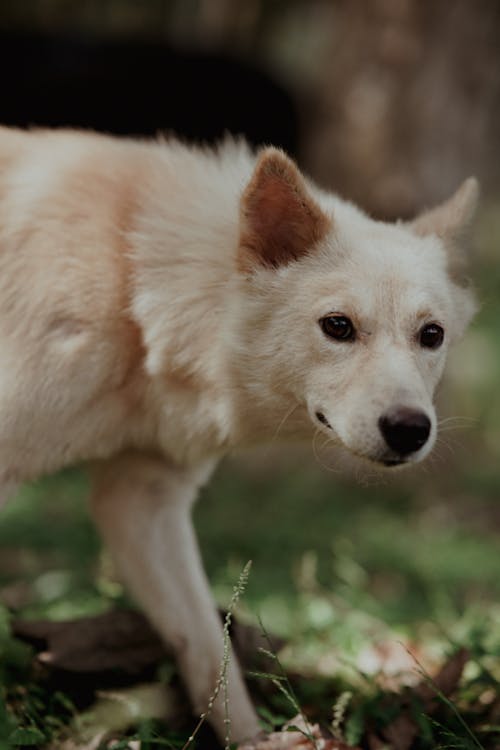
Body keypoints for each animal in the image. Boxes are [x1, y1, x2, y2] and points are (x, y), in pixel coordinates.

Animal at [0, 129, 476, 748]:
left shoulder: (142, 502)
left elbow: (208, 647)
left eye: (431, 335)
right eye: (338, 326)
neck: (132, 278)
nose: (410, 430)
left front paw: (253, 740)